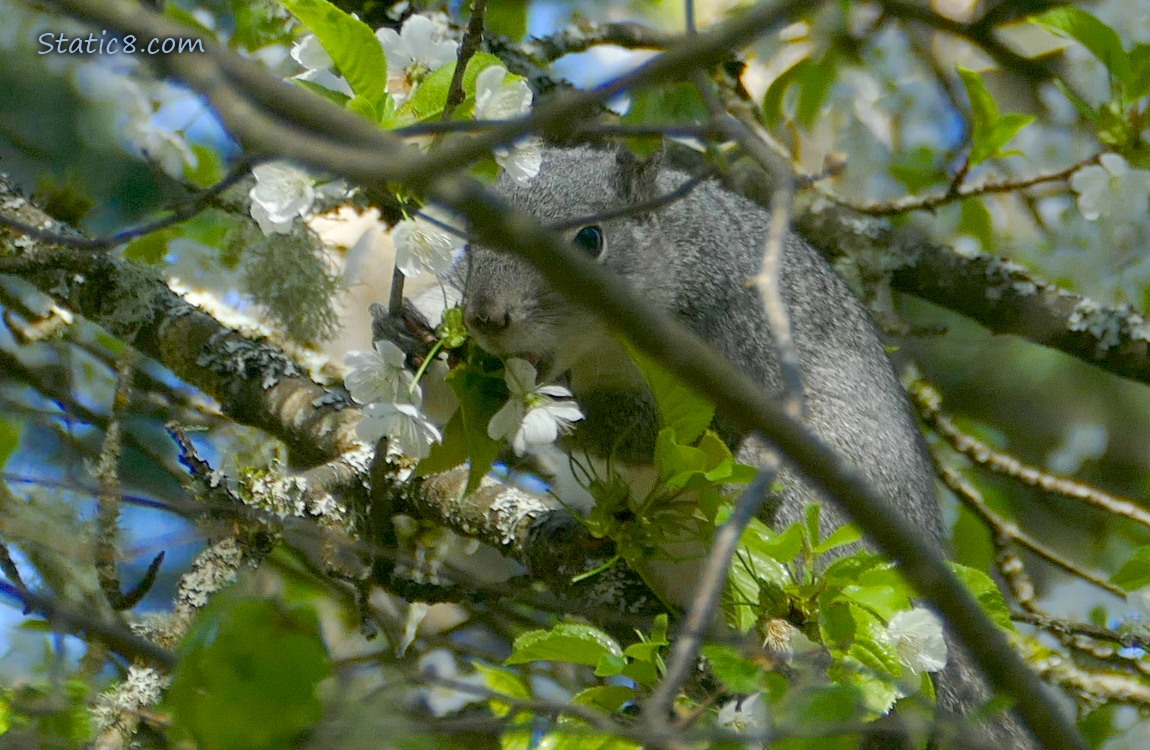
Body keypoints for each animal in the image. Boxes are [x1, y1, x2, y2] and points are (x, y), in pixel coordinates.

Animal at [377, 146, 1030, 748]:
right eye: (471, 234)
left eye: (591, 240)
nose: (487, 317)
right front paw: (411, 331)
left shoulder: (735, 342)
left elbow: (663, 430)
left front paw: (549, 405)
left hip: (811, 517)